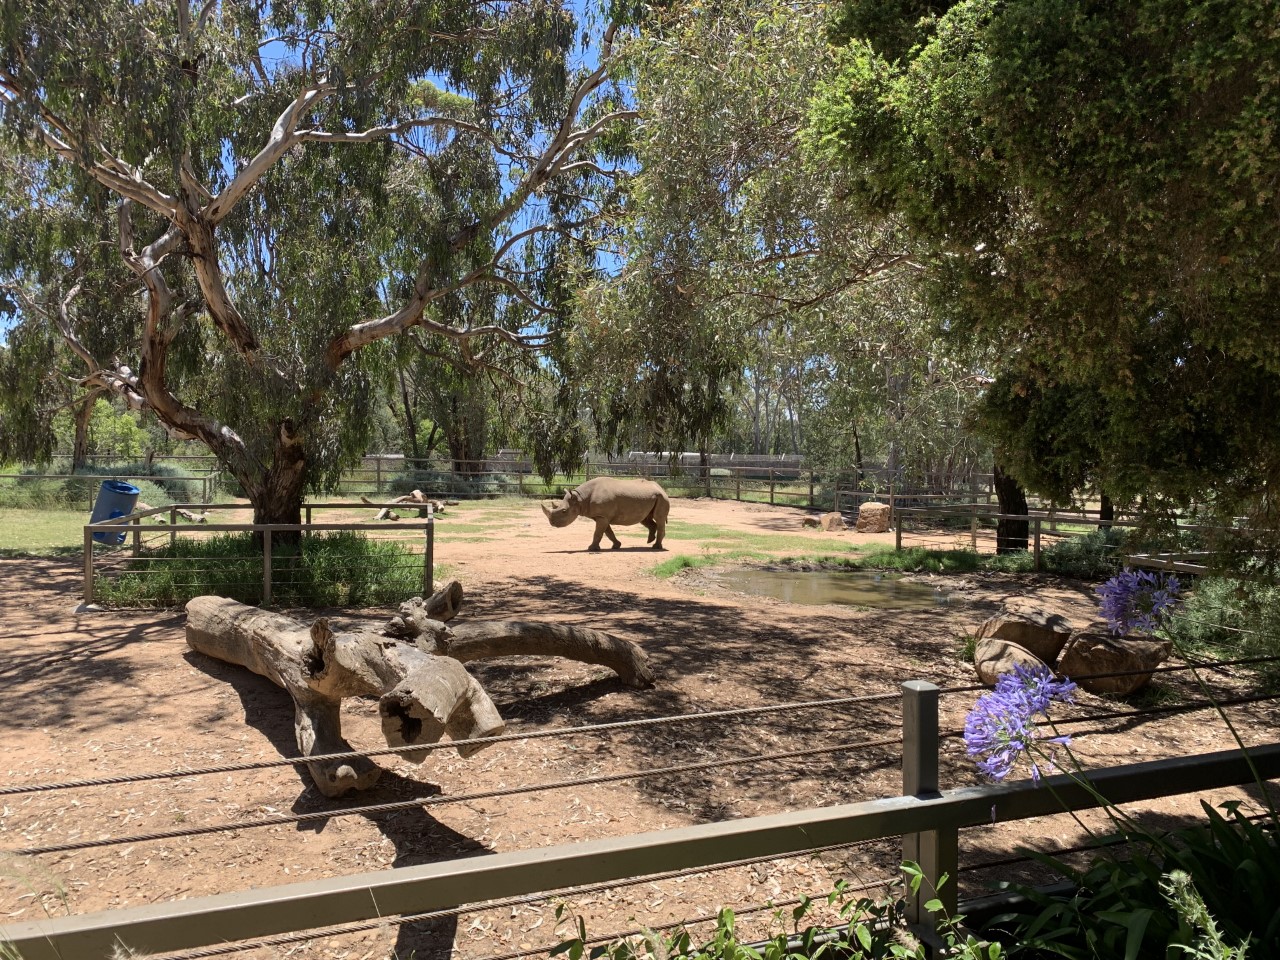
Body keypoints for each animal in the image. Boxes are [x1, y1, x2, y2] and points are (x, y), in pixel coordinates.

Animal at [541, 477, 670, 551]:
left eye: (564, 511)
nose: (552, 523)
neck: (580, 499)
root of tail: (661, 488)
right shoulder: (602, 516)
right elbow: (608, 532)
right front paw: (616, 546)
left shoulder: (602, 516)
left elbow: (598, 533)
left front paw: (591, 549)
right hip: (652, 497)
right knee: (645, 519)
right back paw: (650, 541)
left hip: (662, 498)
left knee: (659, 519)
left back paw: (656, 547)